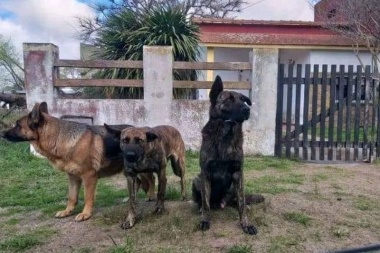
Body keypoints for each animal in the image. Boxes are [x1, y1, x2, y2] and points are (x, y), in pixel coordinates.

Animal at [0, 102, 154, 222]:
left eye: (18, 125)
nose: (2, 133)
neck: (59, 137)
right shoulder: (73, 177)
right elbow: (72, 197)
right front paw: (67, 211)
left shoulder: (89, 176)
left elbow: (87, 197)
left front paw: (85, 214)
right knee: (139, 182)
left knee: (150, 179)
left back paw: (150, 196)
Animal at [193, 75, 264, 235]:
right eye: (229, 99)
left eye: (243, 100)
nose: (247, 109)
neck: (226, 136)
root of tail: (219, 202)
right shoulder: (205, 172)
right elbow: (205, 203)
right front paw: (204, 219)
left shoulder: (238, 173)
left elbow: (242, 205)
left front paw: (245, 224)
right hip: (197, 180)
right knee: (203, 201)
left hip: (233, 187)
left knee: (237, 201)